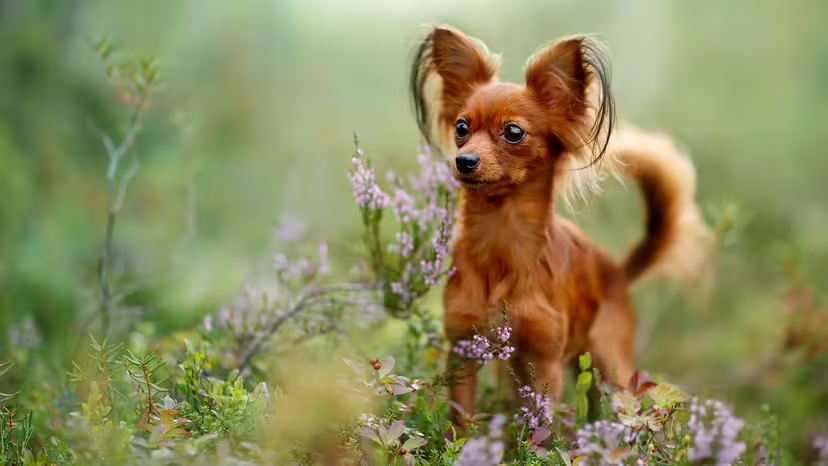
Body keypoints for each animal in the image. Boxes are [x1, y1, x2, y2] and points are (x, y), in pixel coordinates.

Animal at [408, 25, 712, 432]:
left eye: (513, 132)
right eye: (461, 128)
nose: (464, 160)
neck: (501, 239)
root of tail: (616, 272)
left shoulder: (544, 361)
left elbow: (540, 428)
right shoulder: (464, 349)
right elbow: (463, 418)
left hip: (611, 367)